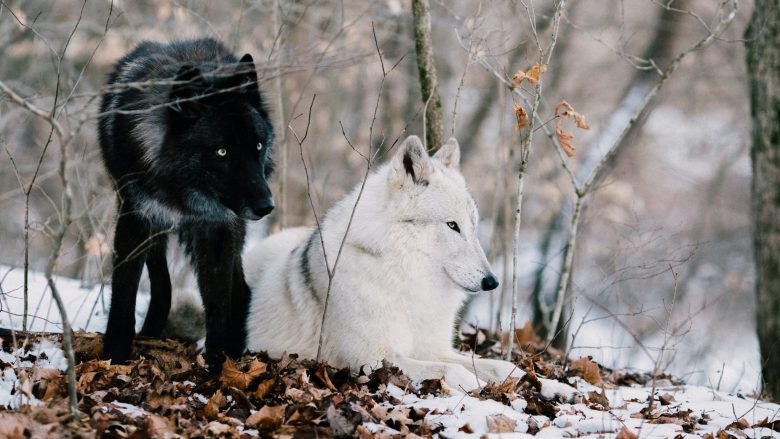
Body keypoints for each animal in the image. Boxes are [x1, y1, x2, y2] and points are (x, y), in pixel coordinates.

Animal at [100, 38, 274, 368]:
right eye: (221, 151)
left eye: (257, 146)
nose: (266, 206)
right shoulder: (136, 218)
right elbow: (125, 292)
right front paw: (114, 355)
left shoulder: (217, 229)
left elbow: (217, 303)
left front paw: (218, 365)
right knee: (162, 283)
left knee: (240, 291)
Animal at [248, 137, 572, 396]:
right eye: (452, 226)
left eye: (473, 226)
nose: (492, 282)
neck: (408, 281)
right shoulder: (368, 359)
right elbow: (455, 371)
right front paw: (479, 387)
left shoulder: (435, 349)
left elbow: (504, 366)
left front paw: (550, 385)